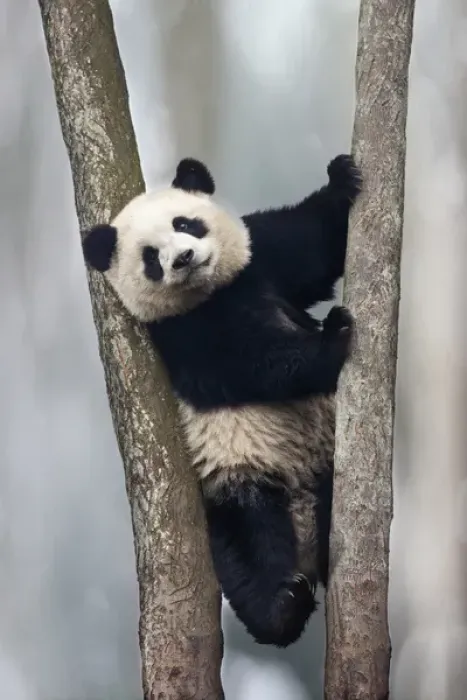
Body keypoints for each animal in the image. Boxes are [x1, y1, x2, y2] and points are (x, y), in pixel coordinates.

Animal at [82, 154, 361, 647]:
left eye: (185, 223)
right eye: (150, 257)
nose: (183, 258)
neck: (213, 293)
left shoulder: (260, 259)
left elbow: (312, 244)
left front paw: (342, 177)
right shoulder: (181, 334)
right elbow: (249, 364)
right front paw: (332, 339)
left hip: (326, 457)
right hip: (235, 482)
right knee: (249, 548)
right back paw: (283, 606)